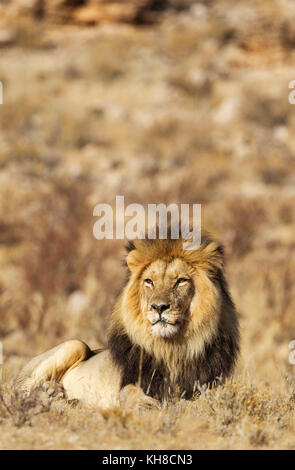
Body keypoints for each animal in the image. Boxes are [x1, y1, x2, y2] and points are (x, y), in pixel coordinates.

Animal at [15, 231, 240, 408]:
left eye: (181, 281)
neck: (171, 349)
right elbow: (129, 393)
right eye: (149, 281)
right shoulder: (131, 381)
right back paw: (51, 392)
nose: (159, 307)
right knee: (19, 389)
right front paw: (145, 403)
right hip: (75, 344)